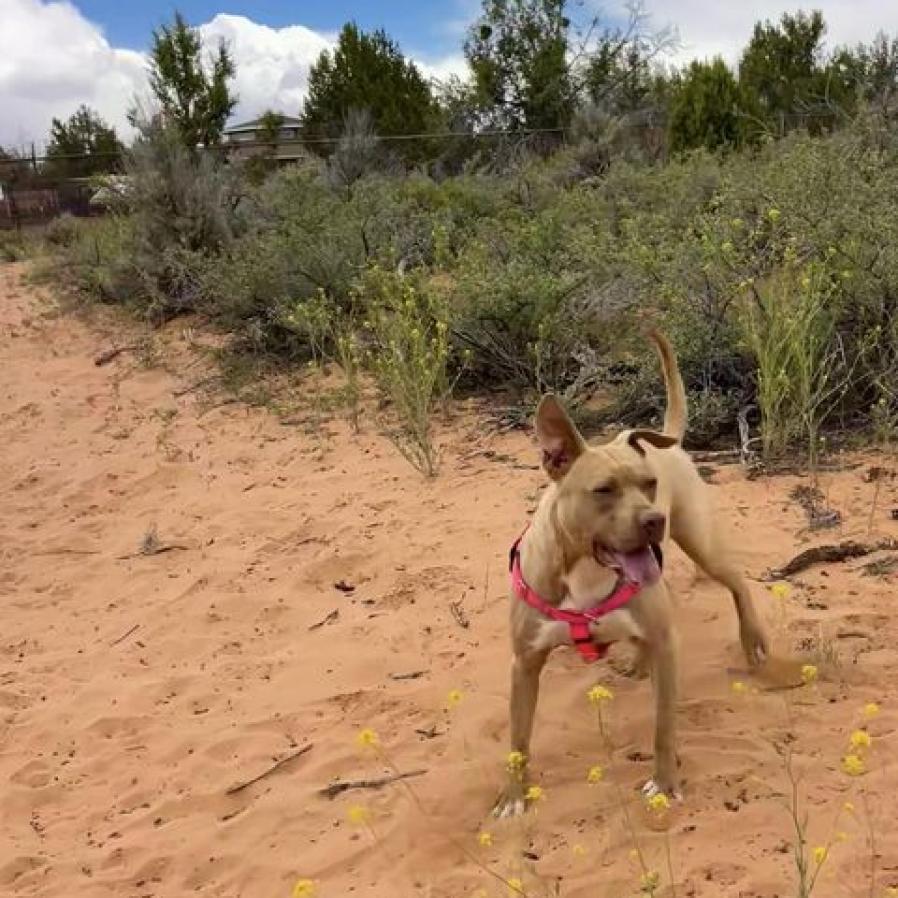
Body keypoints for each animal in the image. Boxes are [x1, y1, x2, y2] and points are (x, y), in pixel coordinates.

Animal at [494, 328, 768, 812]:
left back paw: (751, 638)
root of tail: (669, 442)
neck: (584, 570)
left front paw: (665, 782)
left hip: (701, 543)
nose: (654, 520)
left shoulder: (666, 644)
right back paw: (639, 662)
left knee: (738, 582)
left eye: (649, 484)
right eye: (603, 490)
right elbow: (518, 741)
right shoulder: (524, 663)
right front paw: (514, 797)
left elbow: (663, 727)